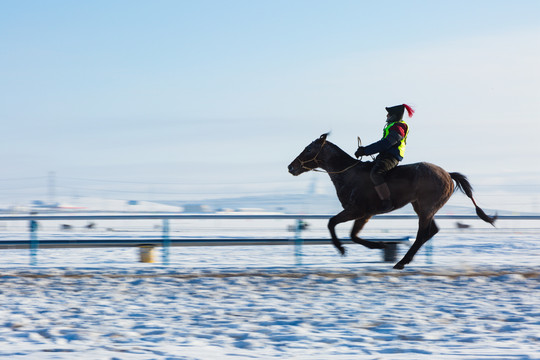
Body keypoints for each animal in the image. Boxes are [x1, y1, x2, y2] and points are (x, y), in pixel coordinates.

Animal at [286, 134, 498, 268]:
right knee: (431, 231)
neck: (348, 174)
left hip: (426, 208)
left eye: (308, 149)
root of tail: (448, 174)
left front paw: (343, 248)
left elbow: (332, 223)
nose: (291, 167)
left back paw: (401, 262)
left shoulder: (358, 210)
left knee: (422, 234)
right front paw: (380, 245)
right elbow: (353, 235)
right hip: (422, 207)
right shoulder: (365, 214)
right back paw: (404, 260)